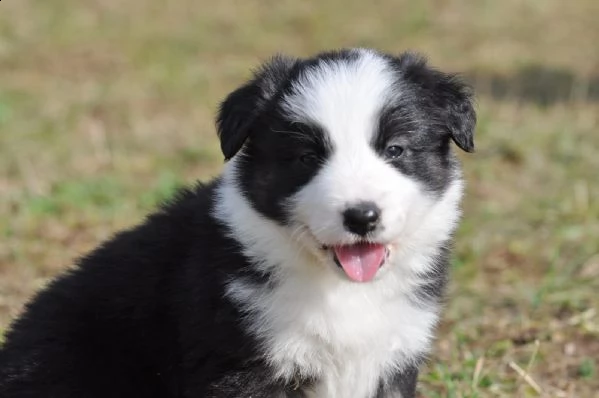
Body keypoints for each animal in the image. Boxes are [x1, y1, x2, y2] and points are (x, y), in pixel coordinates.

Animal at [1, 48, 478, 396]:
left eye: (396, 149)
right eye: (306, 158)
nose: (361, 216)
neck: (336, 287)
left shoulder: (395, 351)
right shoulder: (243, 365)